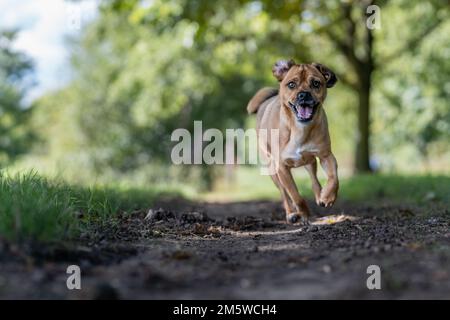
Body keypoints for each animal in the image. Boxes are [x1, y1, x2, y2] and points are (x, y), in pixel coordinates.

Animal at [248, 60, 340, 225]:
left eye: (316, 83)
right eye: (291, 84)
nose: (303, 94)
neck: (299, 128)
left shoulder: (326, 156)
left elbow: (334, 177)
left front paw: (328, 197)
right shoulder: (282, 168)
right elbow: (295, 195)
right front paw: (303, 213)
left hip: (310, 161)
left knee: (314, 179)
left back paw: (319, 195)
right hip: (272, 170)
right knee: (284, 194)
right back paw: (291, 213)